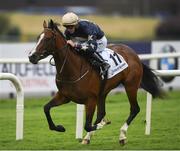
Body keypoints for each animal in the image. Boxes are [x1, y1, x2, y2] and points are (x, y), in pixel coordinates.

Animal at [27, 19, 163, 145]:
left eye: (47, 38)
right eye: (38, 37)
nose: (31, 56)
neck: (72, 69)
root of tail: (134, 54)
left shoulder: (90, 99)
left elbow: (87, 124)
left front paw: (103, 124)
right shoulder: (64, 96)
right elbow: (46, 108)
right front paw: (59, 128)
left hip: (131, 85)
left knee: (134, 109)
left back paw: (122, 135)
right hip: (103, 92)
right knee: (101, 113)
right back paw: (88, 138)